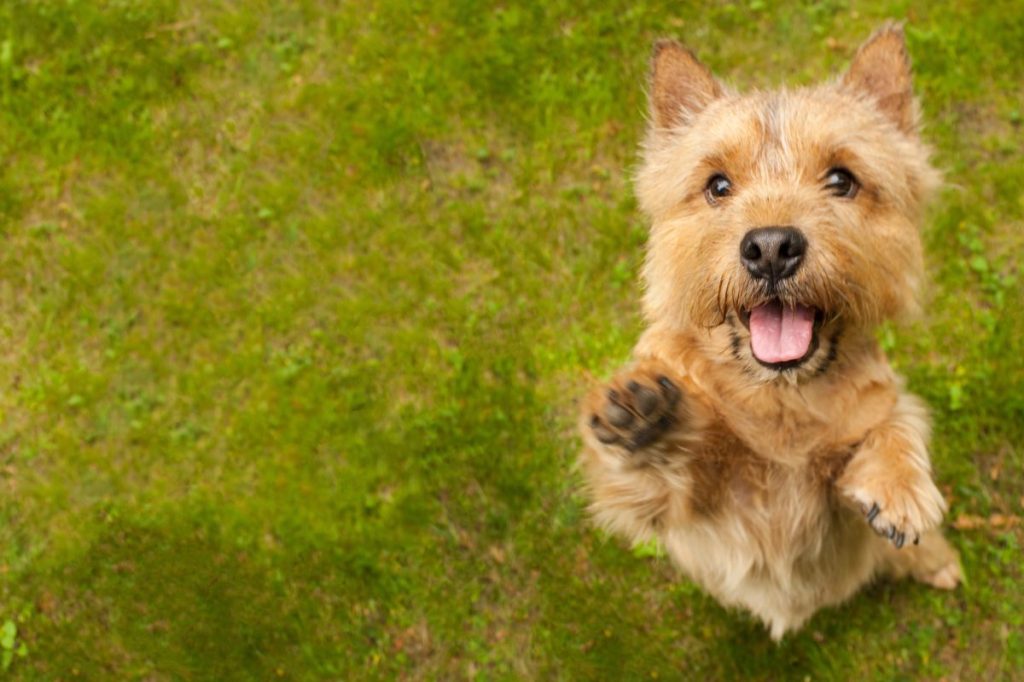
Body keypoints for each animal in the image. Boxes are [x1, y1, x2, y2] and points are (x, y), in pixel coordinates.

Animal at [581, 22, 962, 638]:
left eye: (841, 179)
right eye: (718, 185)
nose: (771, 248)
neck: (783, 395)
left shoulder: (873, 418)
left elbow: (893, 422)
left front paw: (898, 484)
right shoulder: (702, 511)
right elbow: (667, 473)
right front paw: (644, 418)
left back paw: (937, 561)